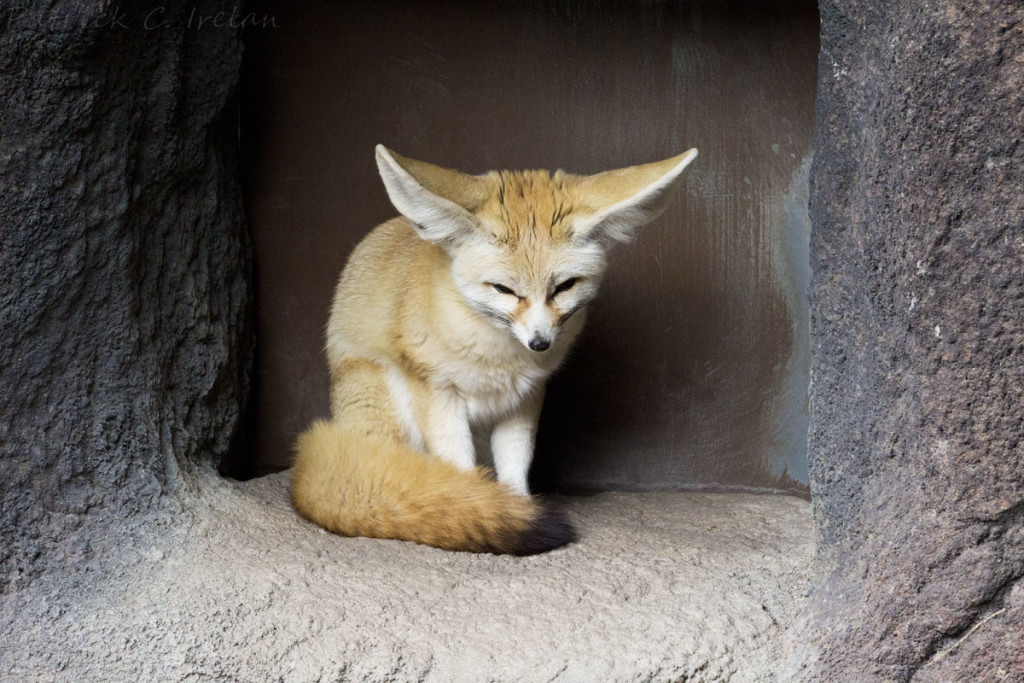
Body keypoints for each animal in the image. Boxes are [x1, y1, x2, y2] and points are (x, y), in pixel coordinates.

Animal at [292, 145, 700, 557]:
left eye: (564, 287)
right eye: (504, 289)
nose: (540, 342)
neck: (497, 358)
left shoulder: (525, 397)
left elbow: (515, 462)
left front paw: (515, 506)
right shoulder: (437, 393)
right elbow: (457, 474)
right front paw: (472, 506)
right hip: (390, 403)